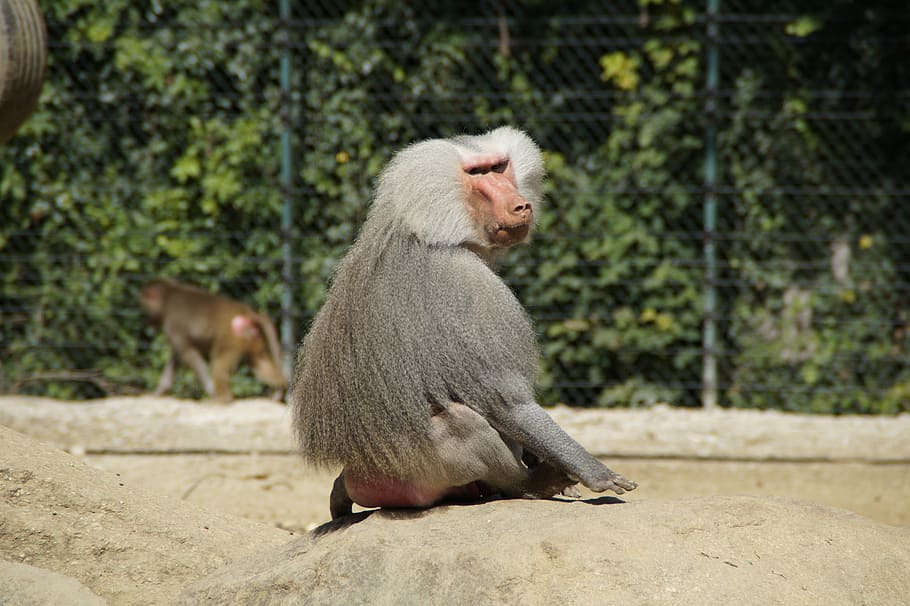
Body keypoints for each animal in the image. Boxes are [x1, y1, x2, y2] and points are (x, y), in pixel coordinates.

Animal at [140, 278, 287, 403]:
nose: (148, 320)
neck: (169, 295)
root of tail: (246, 311)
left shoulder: (173, 326)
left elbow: (189, 355)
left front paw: (211, 389)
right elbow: (176, 359)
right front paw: (158, 392)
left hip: (231, 338)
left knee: (219, 363)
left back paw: (222, 399)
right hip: (252, 338)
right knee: (260, 363)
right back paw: (281, 386)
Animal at [290, 126, 637, 520]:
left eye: (499, 167)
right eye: (476, 174)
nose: (521, 206)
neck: (431, 228)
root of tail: (358, 473)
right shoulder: (469, 290)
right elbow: (508, 401)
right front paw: (596, 472)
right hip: (415, 465)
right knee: (465, 422)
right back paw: (531, 484)